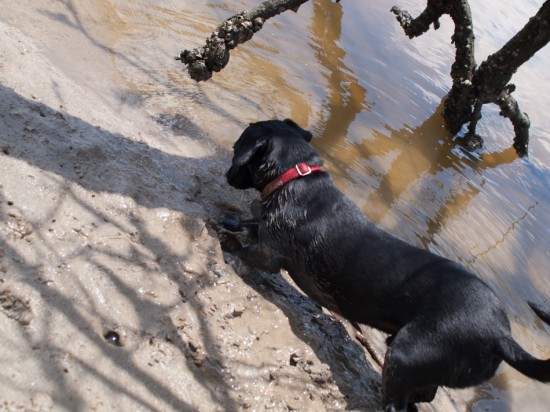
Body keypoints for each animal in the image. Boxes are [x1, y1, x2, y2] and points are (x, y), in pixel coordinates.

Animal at [224, 119, 550, 412]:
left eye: (236, 149)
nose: (227, 175)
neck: (293, 180)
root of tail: (501, 335)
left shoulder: (269, 252)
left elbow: (248, 250)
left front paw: (230, 246)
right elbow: (248, 225)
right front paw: (233, 223)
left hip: (406, 355)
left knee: (399, 402)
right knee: (425, 394)